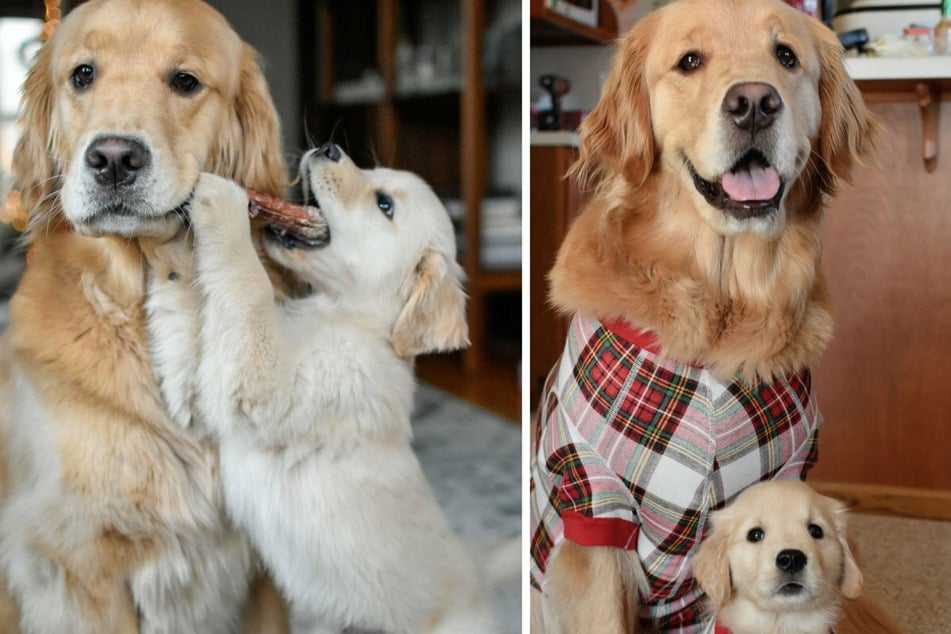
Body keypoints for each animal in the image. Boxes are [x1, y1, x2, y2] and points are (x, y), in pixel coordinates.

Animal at [147, 144, 498, 632]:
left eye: (384, 204)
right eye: (372, 170)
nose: (329, 149)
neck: (345, 313)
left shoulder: (269, 386)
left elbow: (250, 286)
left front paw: (224, 199)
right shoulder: (205, 385)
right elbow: (191, 330)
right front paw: (172, 251)